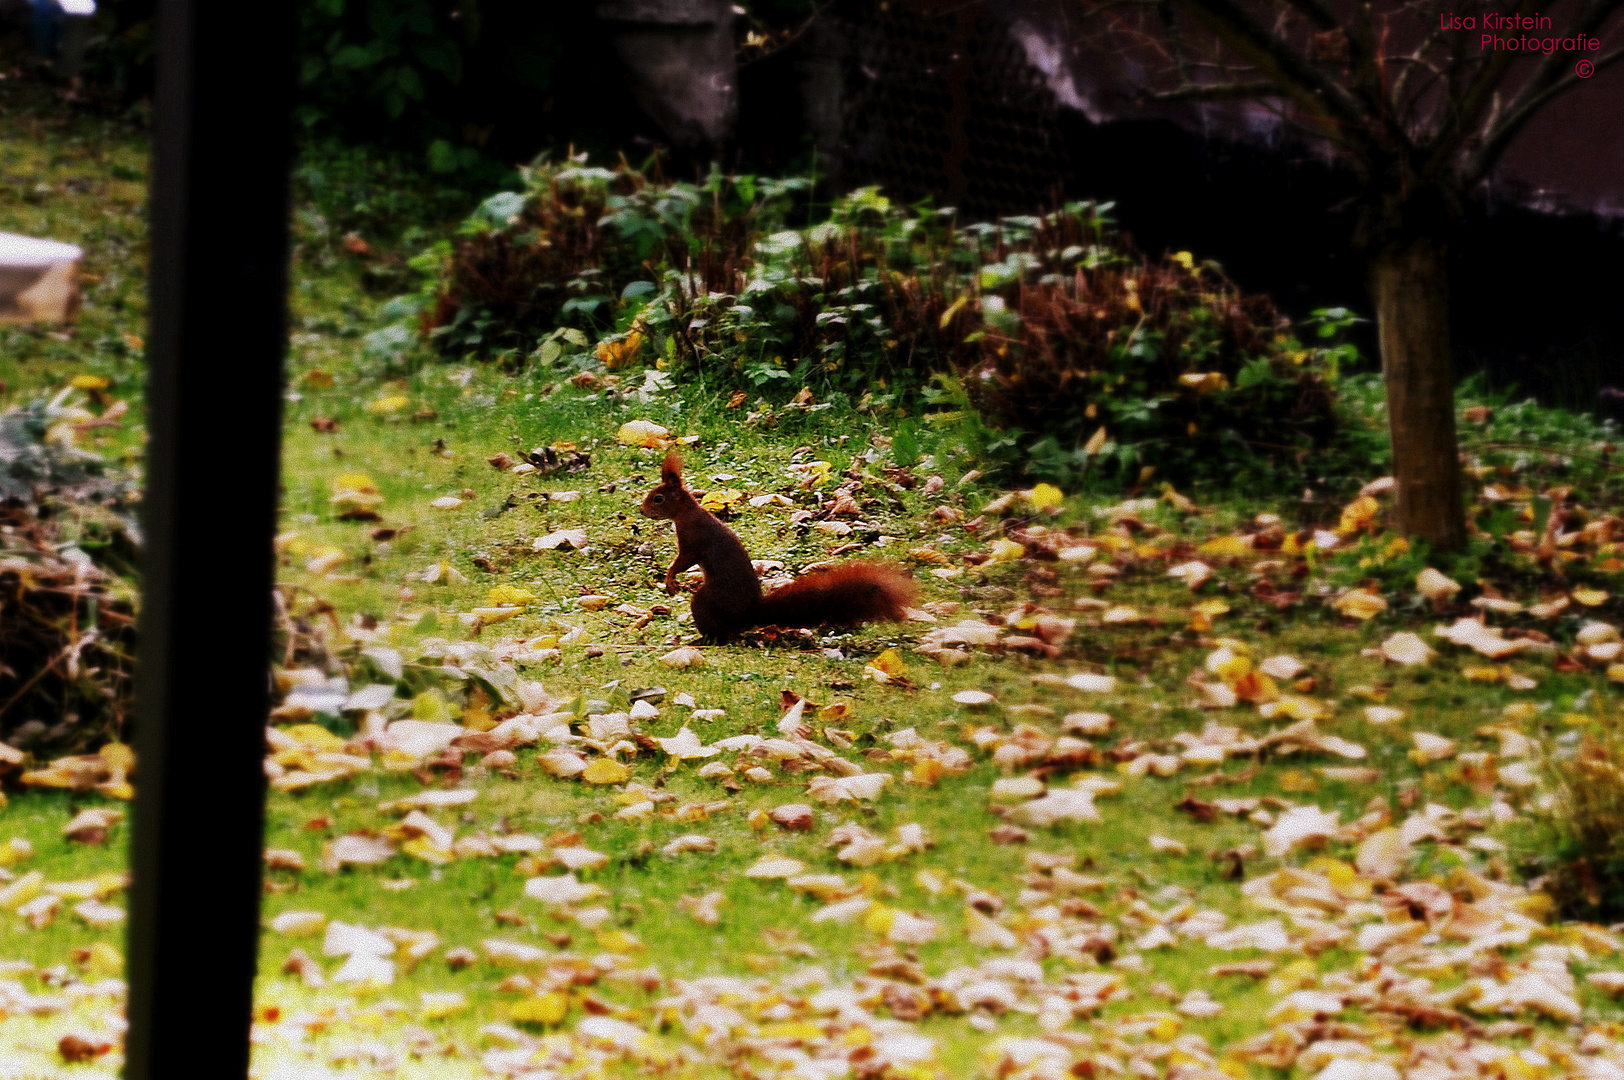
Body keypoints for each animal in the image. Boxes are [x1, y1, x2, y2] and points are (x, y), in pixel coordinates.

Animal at [633, 448, 915, 636]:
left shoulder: (693, 538)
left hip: (707, 599)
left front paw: (670, 580)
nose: (642, 510)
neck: (686, 512)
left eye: (658, 498)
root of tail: (749, 614)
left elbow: (683, 560)